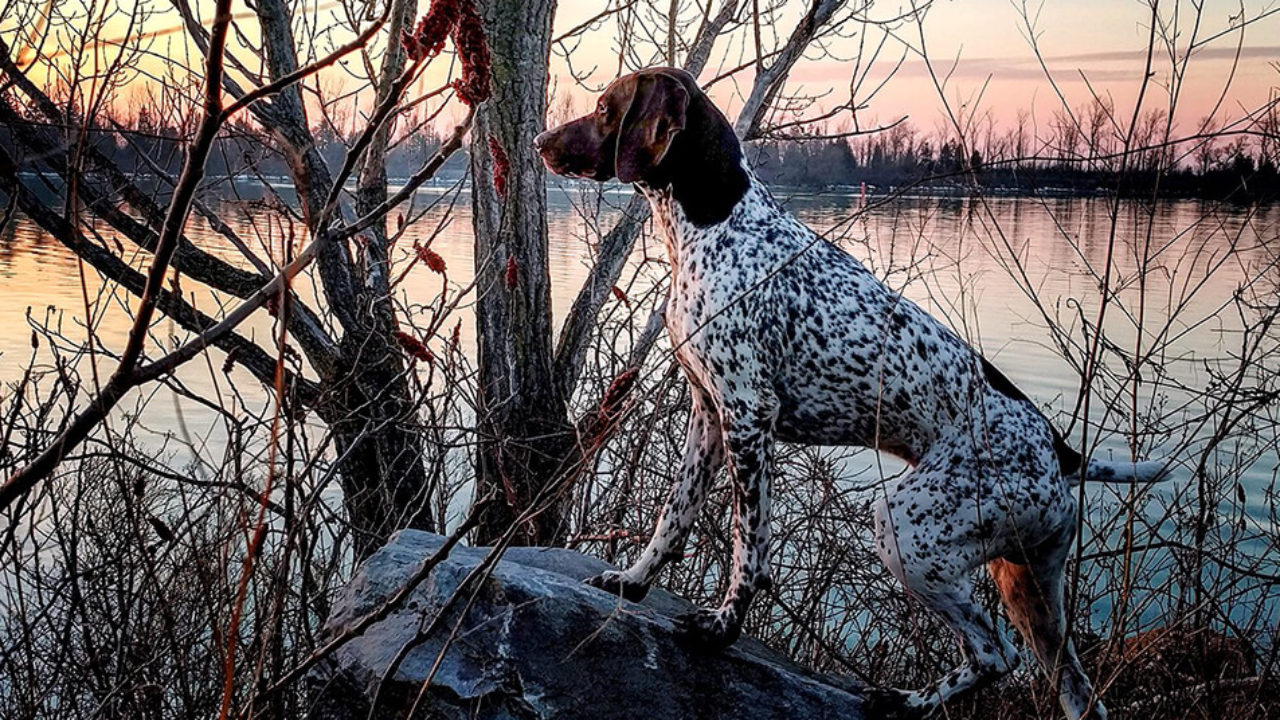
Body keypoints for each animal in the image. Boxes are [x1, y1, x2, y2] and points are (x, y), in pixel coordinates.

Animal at [529, 67, 1162, 717]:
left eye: (604, 108)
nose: (539, 142)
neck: (717, 225)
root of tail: (1060, 451)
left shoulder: (748, 416)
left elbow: (747, 545)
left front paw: (722, 627)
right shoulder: (709, 412)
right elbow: (673, 515)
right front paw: (632, 581)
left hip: (907, 531)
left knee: (995, 654)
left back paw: (906, 703)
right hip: (1028, 587)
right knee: (1077, 691)